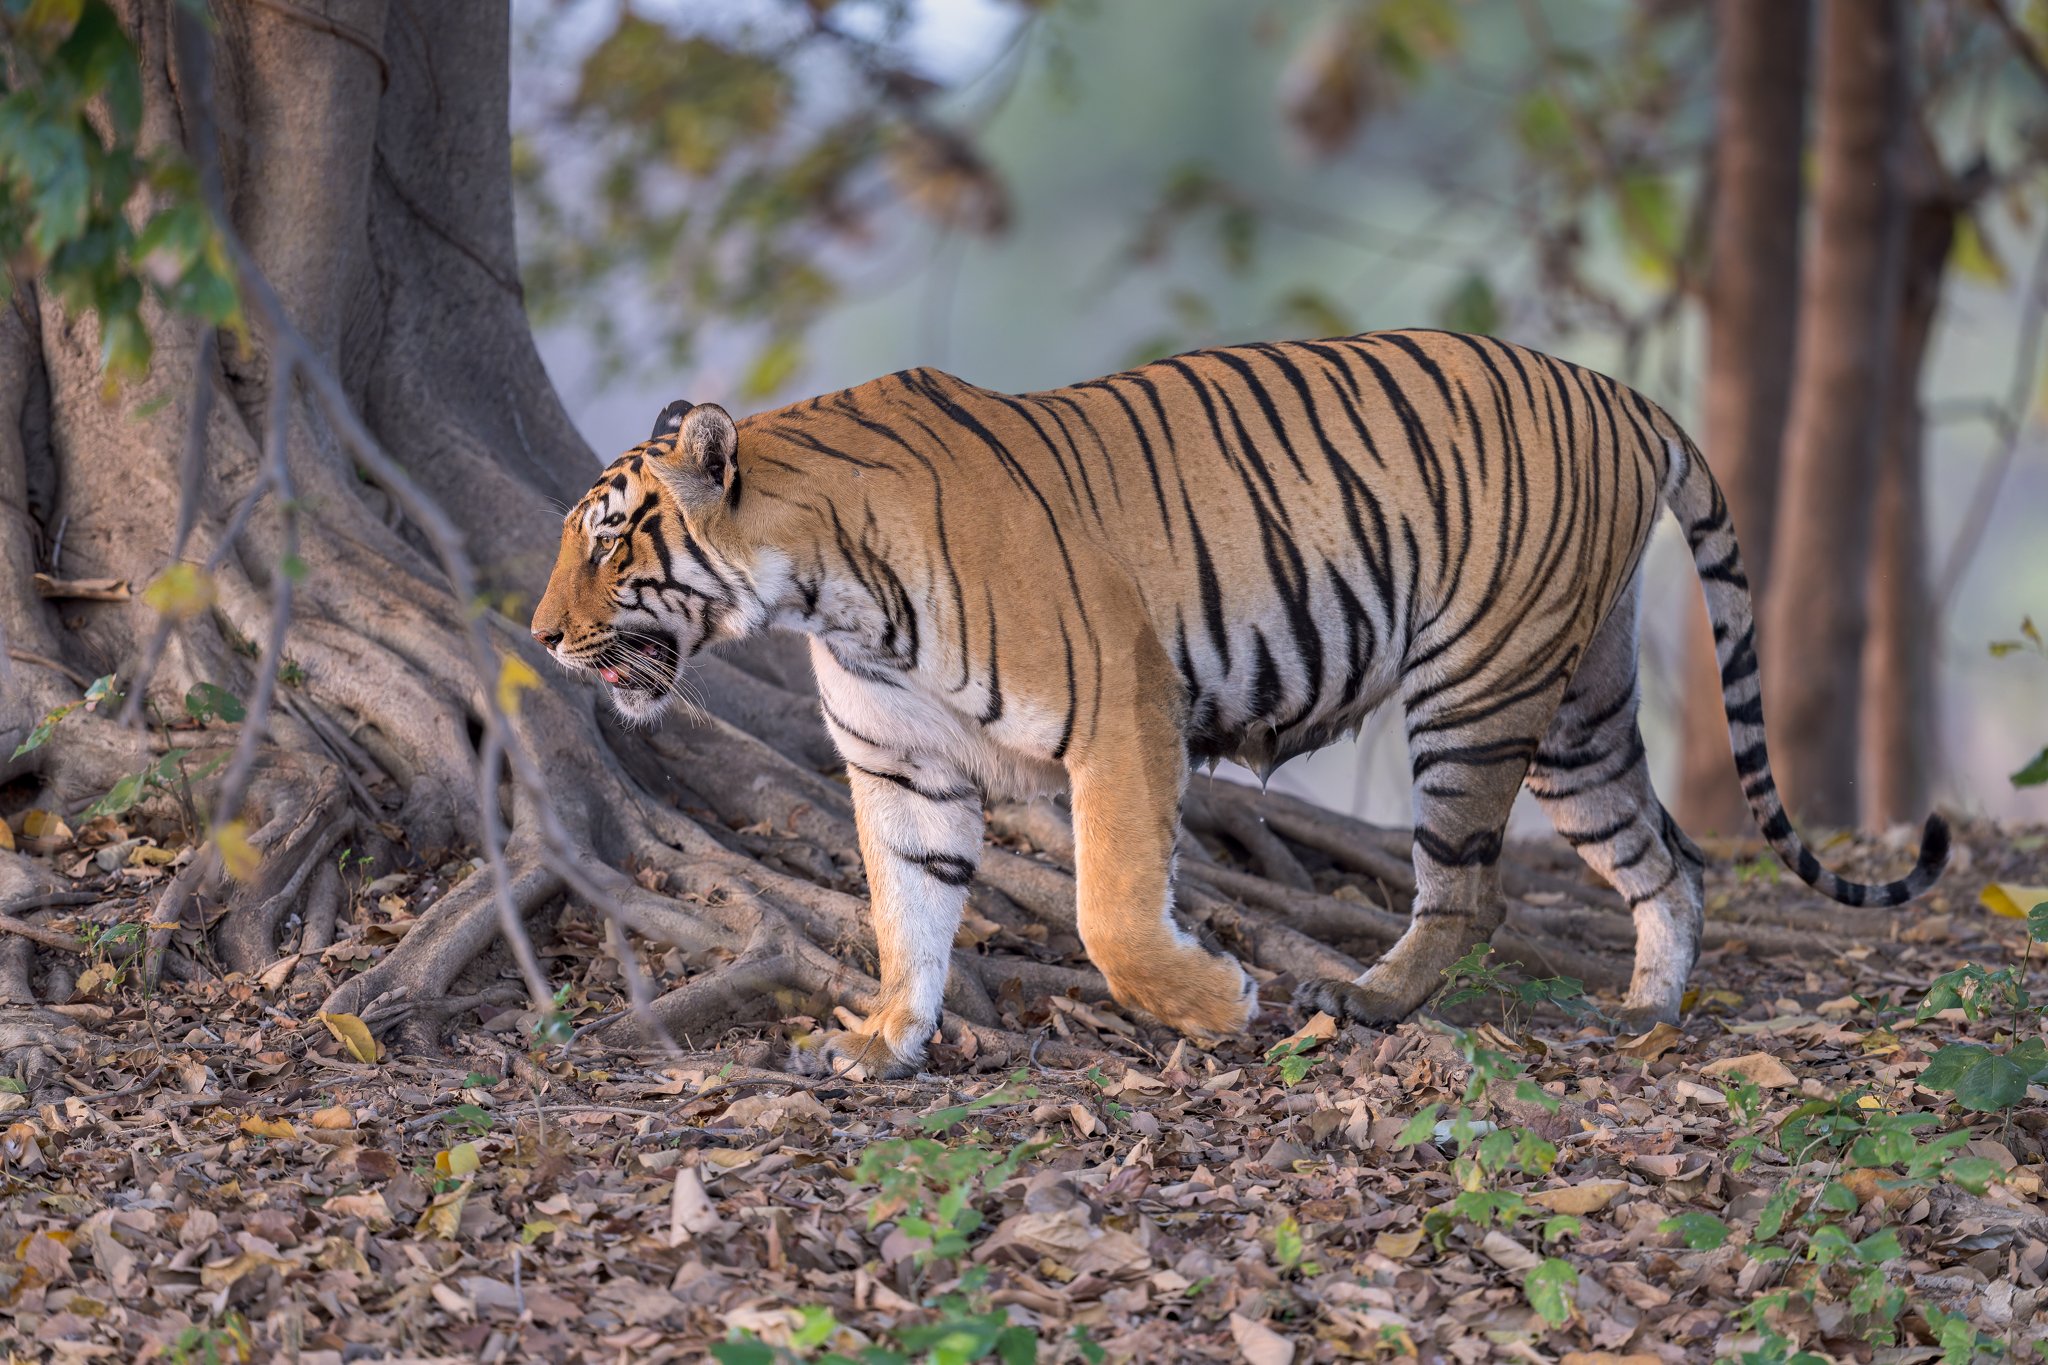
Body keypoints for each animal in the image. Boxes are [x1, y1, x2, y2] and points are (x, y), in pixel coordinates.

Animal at [530, 329, 1948, 1078]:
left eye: (606, 539)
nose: (539, 637)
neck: (821, 592)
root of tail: (1621, 393)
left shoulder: (1119, 705)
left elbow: (1107, 909)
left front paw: (1216, 1005)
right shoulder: (900, 767)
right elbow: (906, 910)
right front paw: (885, 1036)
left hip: (1475, 688)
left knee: (1469, 888)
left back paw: (1366, 1000)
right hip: (1576, 712)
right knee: (1666, 863)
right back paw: (1646, 1012)